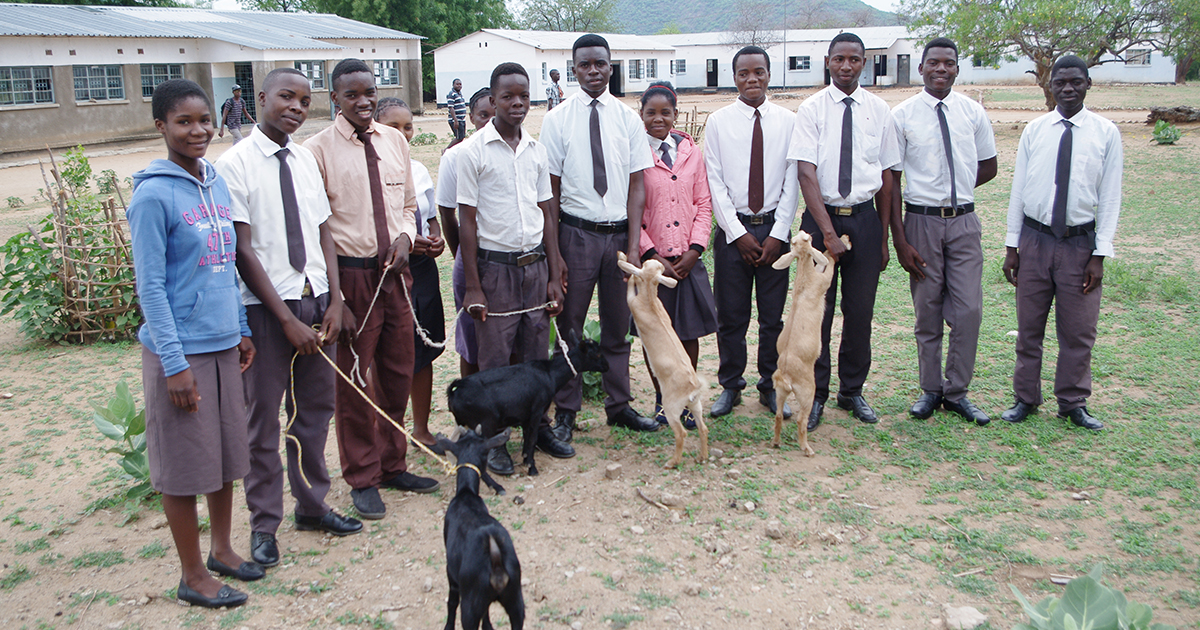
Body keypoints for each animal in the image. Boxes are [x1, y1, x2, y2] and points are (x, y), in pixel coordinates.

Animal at [434, 424, 523, 628]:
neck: (467, 494)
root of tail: (496, 564)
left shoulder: (451, 574)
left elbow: (451, 602)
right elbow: (487, 614)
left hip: (471, 605)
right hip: (515, 600)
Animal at [446, 333, 604, 477]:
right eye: (597, 354)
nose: (607, 366)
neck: (550, 374)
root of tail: (455, 392)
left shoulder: (525, 416)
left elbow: (527, 438)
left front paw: (525, 460)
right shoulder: (536, 411)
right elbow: (532, 439)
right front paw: (531, 468)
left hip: (462, 422)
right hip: (485, 423)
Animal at [614, 252, 705, 465]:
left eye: (647, 262)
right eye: (659, 267)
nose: (646, 258)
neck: (650, 301)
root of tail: (692, 388)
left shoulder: (632, 302)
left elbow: (632, 281)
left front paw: (623, 260)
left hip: (671, 408)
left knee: (681, 434)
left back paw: (672, 462)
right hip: (696, 405)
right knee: (703, 428)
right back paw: (702, 457)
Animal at [772, 230, 849, 451]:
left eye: (794, 241)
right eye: (805, 239)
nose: (806, 232)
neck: (803, 281)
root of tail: (786, 376)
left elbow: (823, 260)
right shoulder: (823, 281)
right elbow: (829, 263)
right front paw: (844, 241)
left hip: (780, 393)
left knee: (778, 416)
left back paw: (776, 442)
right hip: (807, 392)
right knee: (801, 420)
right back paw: (807, 449)